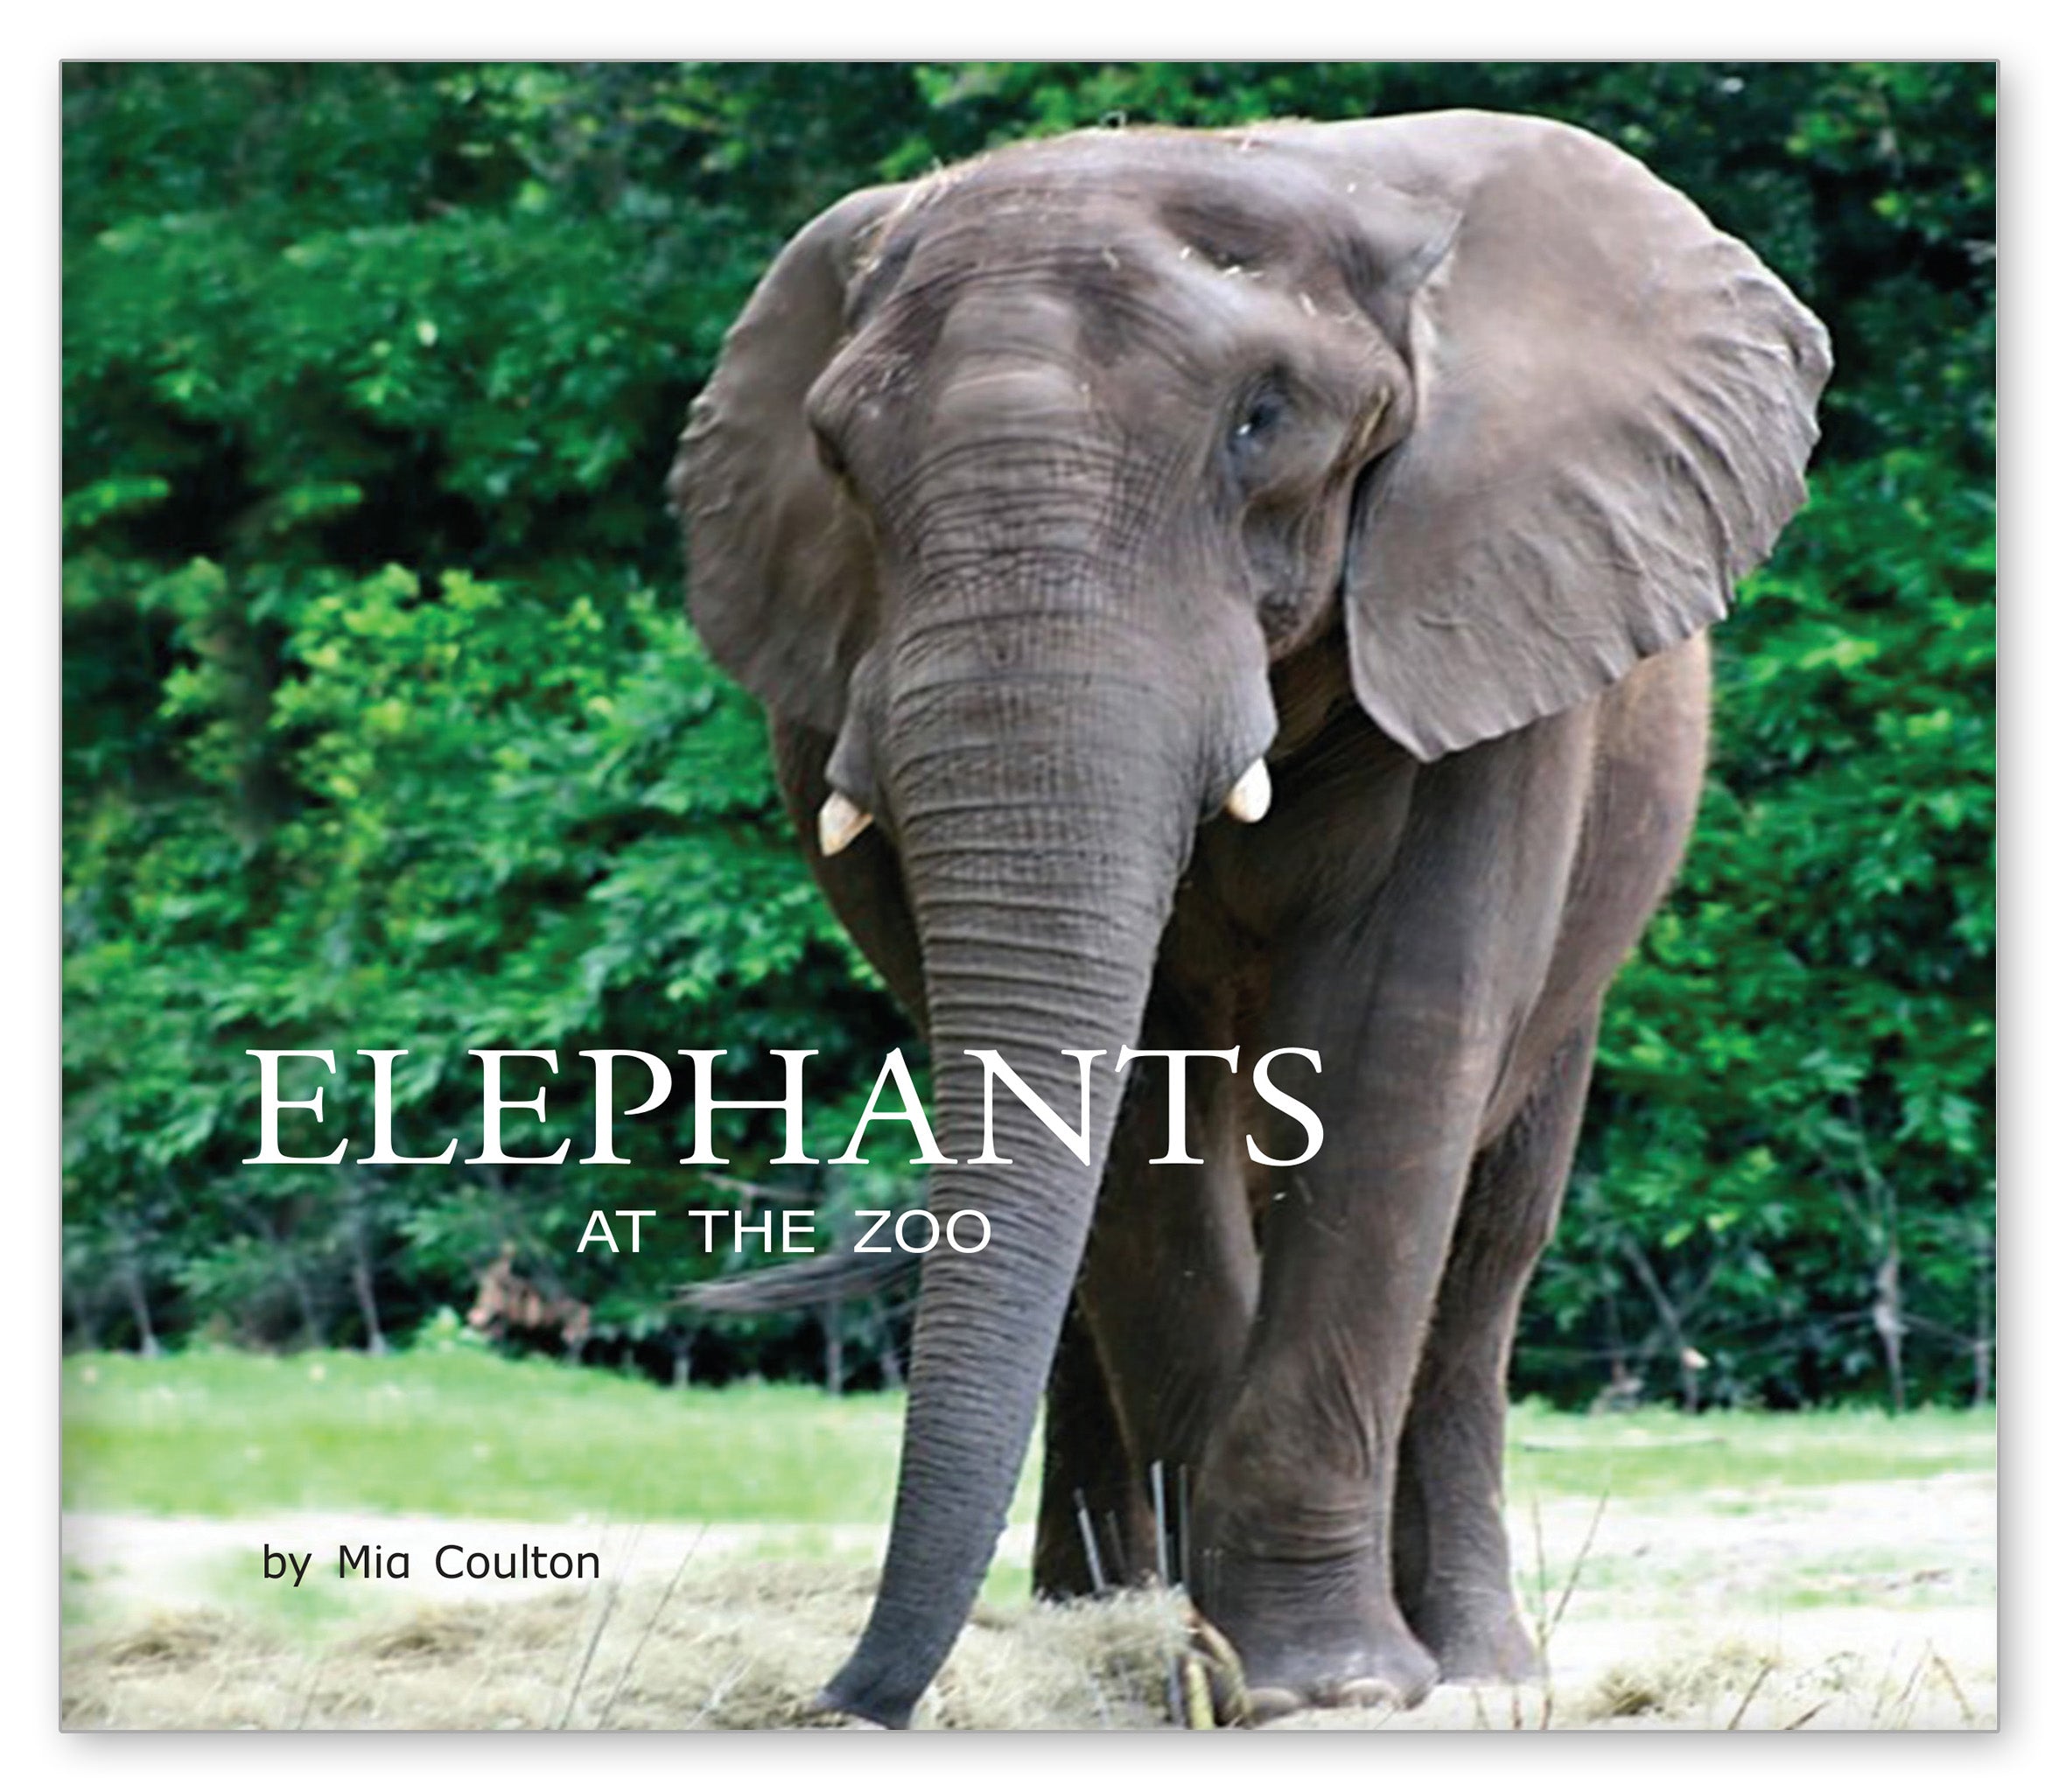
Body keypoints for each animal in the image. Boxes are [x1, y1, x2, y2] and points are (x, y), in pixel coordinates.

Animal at [669, 109, 1829, 1728]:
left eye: (1262, 419)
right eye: (837, 455)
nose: (842, 1702)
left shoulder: (1483, 606)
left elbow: (1394, 1039)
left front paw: (1319, 1686)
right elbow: (1137, 1107)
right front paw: (1201, 1668)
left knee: (1486, 1248)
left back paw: (1477, 1662)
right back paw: (1093, 1614)